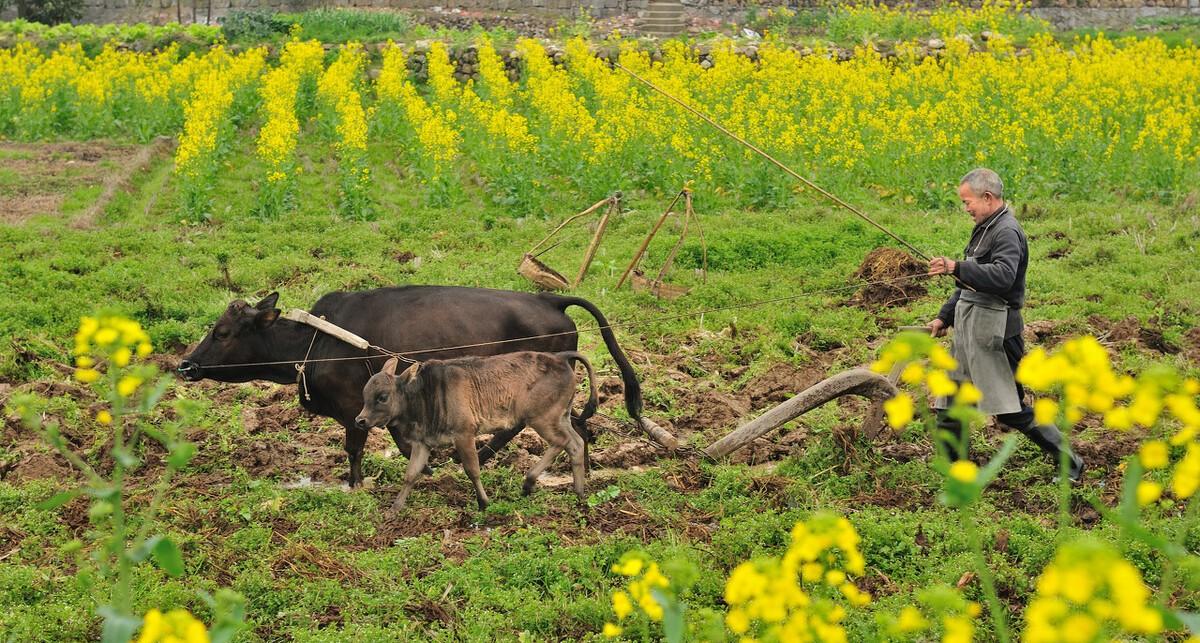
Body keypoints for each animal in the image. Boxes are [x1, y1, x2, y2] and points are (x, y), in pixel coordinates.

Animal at [355, 350, 600, 511]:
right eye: (365, 393)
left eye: (382, 397)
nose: (360, 420)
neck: (425, 395)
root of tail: (560, 358)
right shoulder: (422, 443)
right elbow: (410, 475)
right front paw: (394, 509)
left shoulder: (464, 434)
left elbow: (472, 470)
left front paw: (483, 503)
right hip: (560, 417)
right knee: (575, 444)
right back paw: (578, 493)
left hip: (542, 419)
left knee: (562, 442)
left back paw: (529, 482)